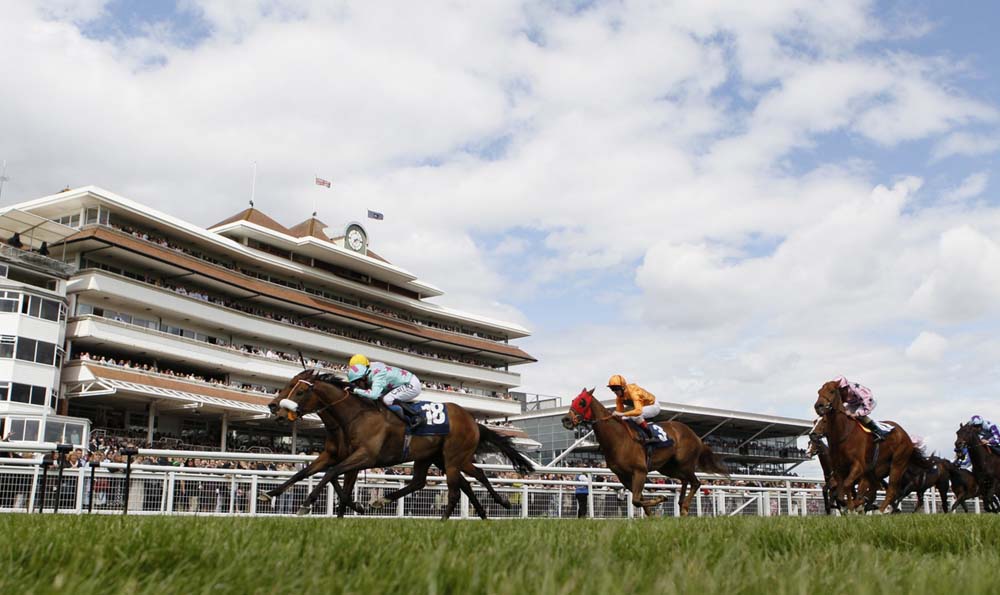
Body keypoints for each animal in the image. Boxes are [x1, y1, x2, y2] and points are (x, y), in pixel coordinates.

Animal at [269, 369, 534, 520]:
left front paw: (307, 504)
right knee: (451, 479)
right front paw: (270, 493)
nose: (276, 410)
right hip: (437, 458)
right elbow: (308, 472)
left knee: (455, 490)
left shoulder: (364, 456)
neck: (354, 416)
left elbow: (331, 474)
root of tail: (472, 420)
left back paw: (448, 520)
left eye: (299, 391)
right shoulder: (336, 455)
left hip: (452, 458)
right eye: (287, 385)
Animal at [561, 388, 727, 516]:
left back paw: (685, 507)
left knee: (696, 482)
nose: (566, 420)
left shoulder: (640, 471)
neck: (618, 439)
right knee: (685, 480)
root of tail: (696, 436)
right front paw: (653, 514)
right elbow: (638, 499)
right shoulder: (623, 476)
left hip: (684, 463)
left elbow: (636, 500)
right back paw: (681, 503)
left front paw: (660, 499)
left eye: (582, 402)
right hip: (668, 468)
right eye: (573, 400)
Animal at [813, 379, 929, 513]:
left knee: (891, 490)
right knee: (874, 491)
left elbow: (847, 486)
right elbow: (841, 493)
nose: (818, 406)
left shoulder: (858, 466)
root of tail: (906, 437)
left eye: (831, 391)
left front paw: (852, 508)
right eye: (819, 392)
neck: (843, 433)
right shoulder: (839, 469)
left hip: (897, 464)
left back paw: (880, 510)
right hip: (876, 471)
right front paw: (849, 507)